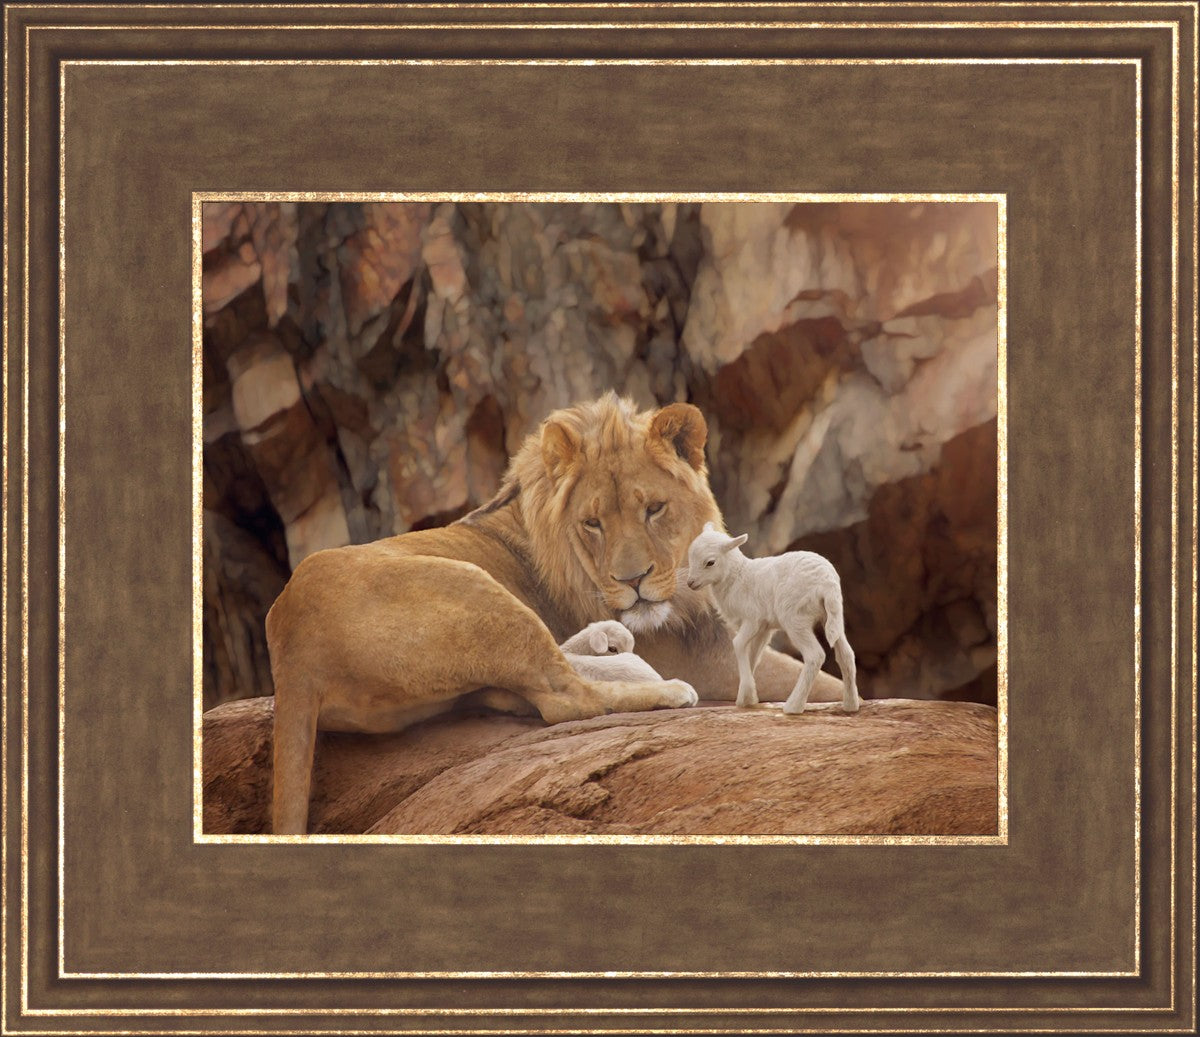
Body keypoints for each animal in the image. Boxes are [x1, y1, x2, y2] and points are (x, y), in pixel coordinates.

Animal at [685, 523, 859, 715]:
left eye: (710, 562)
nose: (690, 583)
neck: (737, 577)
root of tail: (827, 583)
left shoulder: (752, 619)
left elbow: (738, 644)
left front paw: (746, 695)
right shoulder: (764, 628)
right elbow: (753, 655)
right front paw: (747, 697)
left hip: (795, 618)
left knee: (815, 656)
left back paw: (793, 706)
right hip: (833, 616)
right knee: (846, 654)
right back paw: (850, 705)